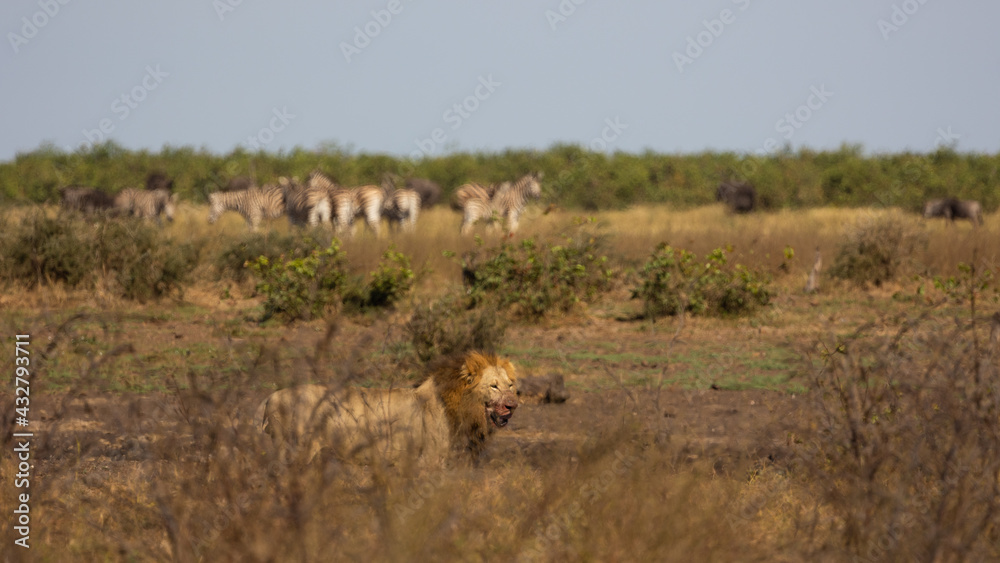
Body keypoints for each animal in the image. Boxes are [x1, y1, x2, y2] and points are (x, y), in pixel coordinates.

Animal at [254, 352, 520, 468]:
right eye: (494, 386)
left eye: (510, 385)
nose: (512, 405)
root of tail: (269, 397)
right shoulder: (429, 460)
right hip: (294, 451)